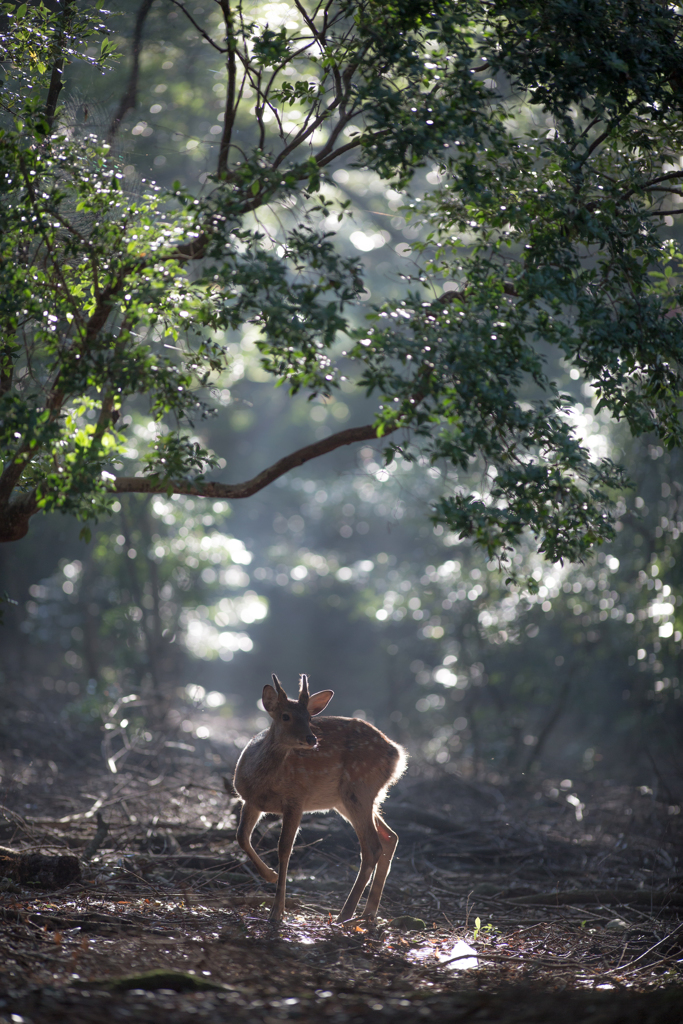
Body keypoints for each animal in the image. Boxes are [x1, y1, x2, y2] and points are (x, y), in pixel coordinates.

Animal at [233, 675, 405, 925]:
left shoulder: (296, 799)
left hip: (358, 787)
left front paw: (277, 912)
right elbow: (242, 837)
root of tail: (398, 755)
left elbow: (284, 848)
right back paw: (368, 913)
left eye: (309, 718)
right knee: (390, 837)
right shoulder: (251, 801)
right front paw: (270, 876)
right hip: (350, 800)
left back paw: (345, 914)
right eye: (286, 716)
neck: (262, 782)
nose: (311, 738)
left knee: (373, 846)